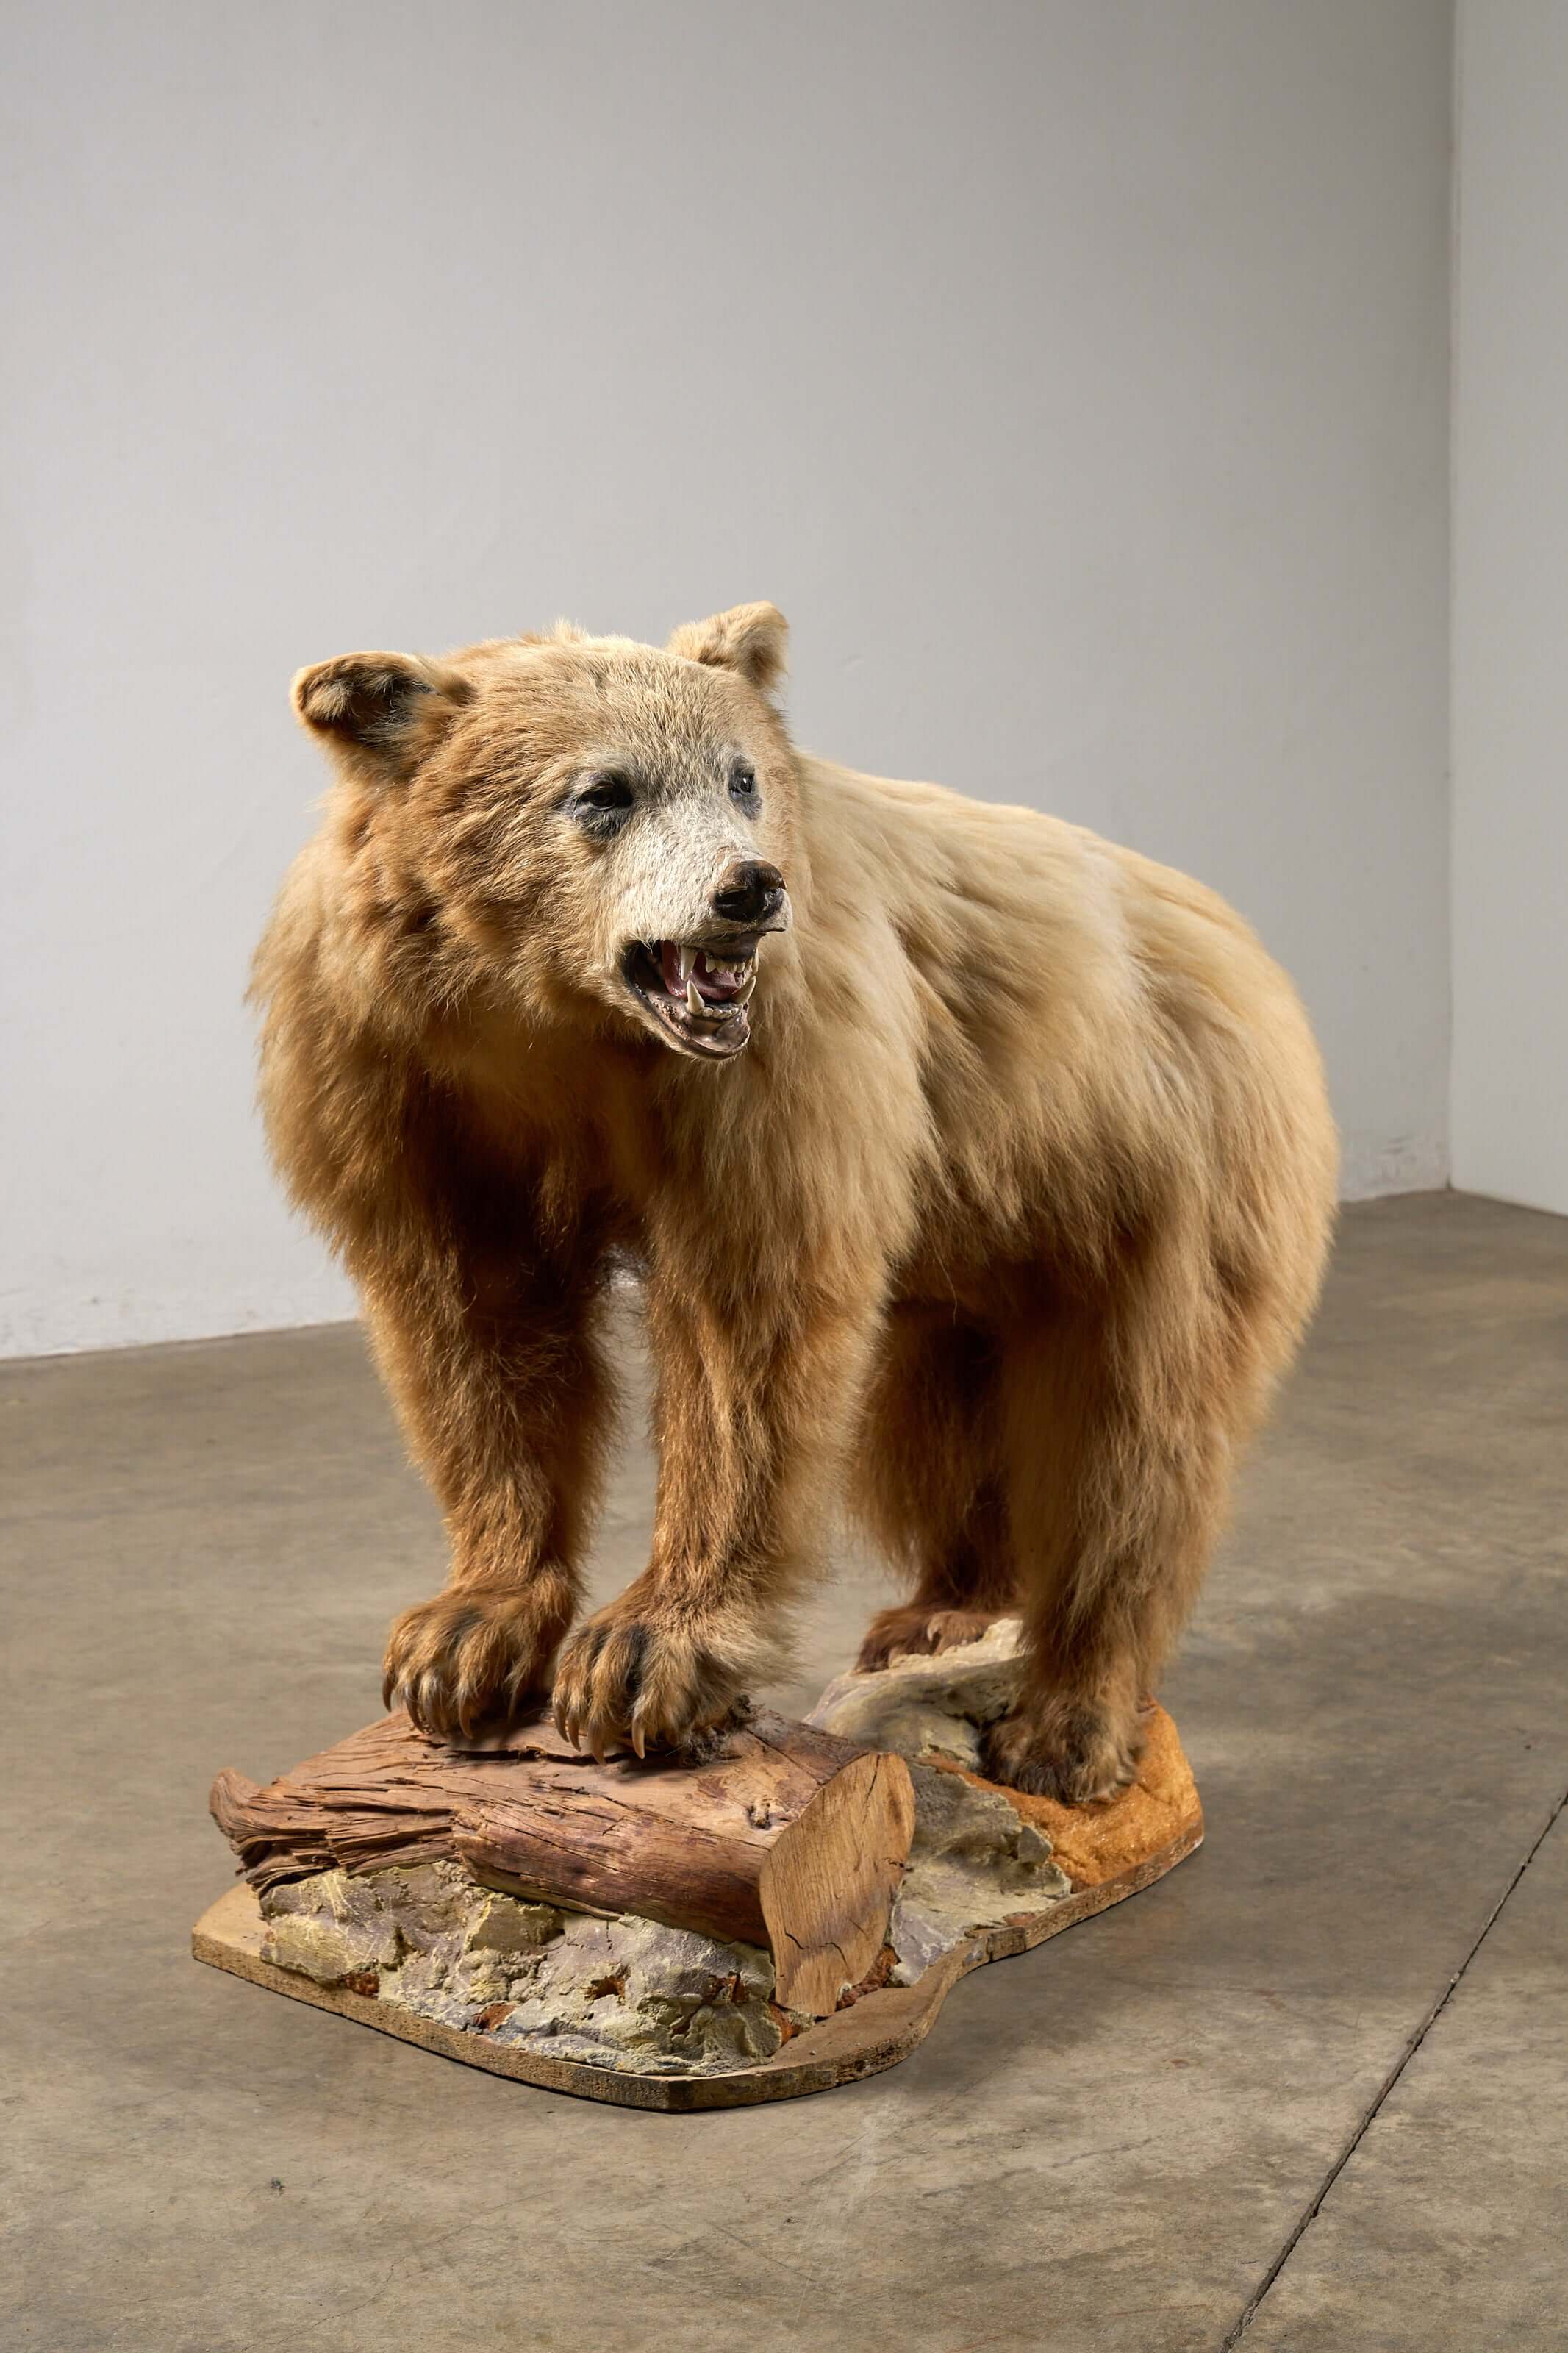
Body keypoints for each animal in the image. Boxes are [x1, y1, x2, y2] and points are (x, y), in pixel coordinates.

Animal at [252, 602, 1337, 1803]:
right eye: (603, 792)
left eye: (740, 778)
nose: (748, 889)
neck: (545, 1018)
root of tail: (1238, 937)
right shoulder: (397, 1078)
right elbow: (477, 1331)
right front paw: (460, 1638)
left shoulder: (772, 1074)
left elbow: (744, 1337)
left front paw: (645, 1654)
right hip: (988, 1234)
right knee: (941, 1418)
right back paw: (941, 1611)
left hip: (1158, 1166)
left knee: (1134, 1437)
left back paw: (1066, 1720)